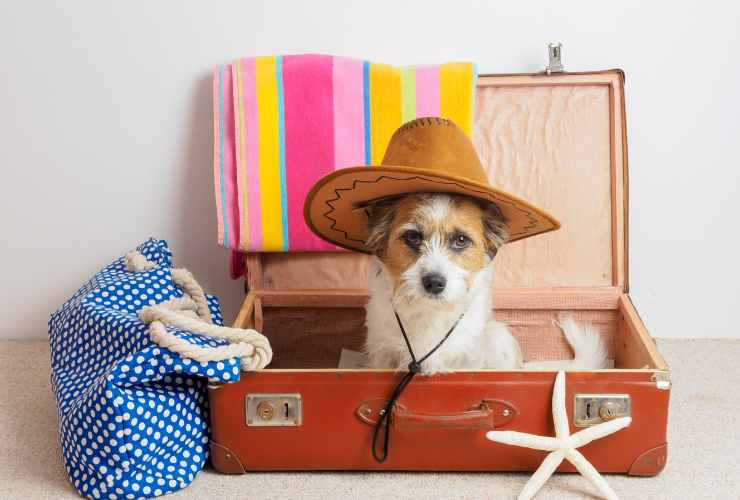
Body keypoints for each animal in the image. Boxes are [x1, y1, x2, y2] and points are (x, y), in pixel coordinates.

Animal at [360, 193, 608, 374]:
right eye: (413, 237)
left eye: (461, 240)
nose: (434, 283)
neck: (432, 310)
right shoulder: (382, 354)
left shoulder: (469, 360)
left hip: (498, 336)